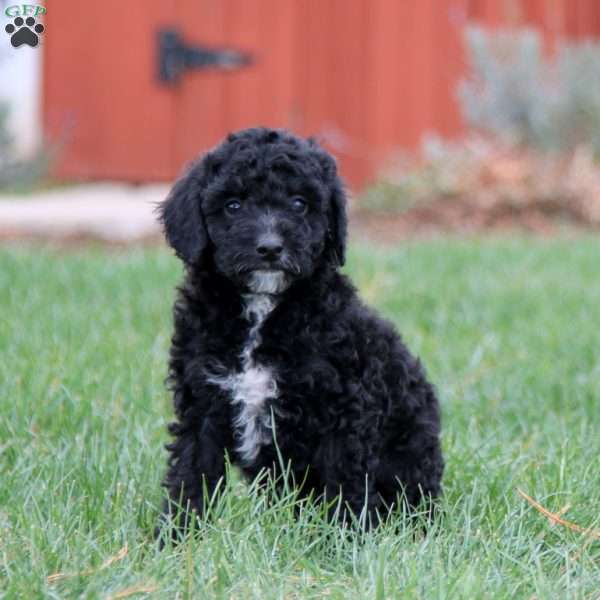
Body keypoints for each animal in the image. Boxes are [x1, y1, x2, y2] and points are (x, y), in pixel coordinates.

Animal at [157, 127, 442, 540]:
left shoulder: (344, 410)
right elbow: (191, 472)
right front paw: (177, 538)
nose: (270, 248)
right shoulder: (202, 402)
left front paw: (345, 541)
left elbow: (346, 482)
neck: (263, 308)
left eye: (299, 203)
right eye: (233, 206)